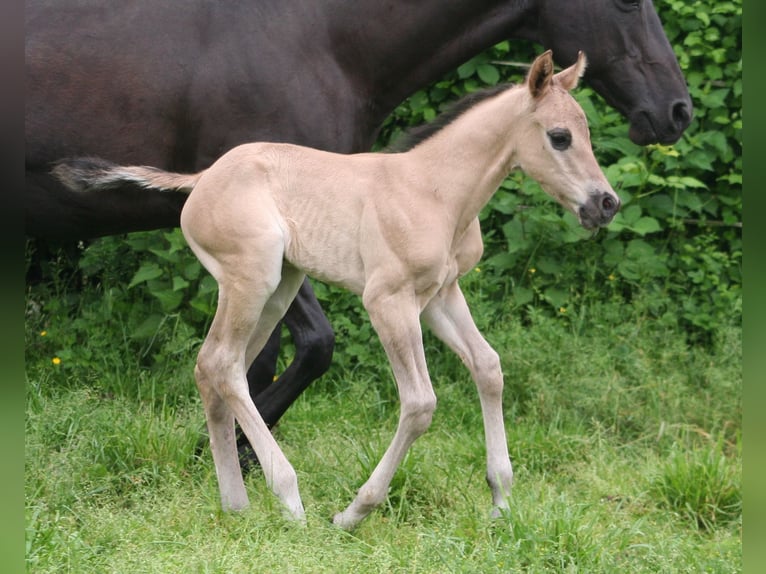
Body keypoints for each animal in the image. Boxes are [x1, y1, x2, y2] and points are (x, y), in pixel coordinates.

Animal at [54, 50, 620, 532]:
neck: (436, 191)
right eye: (560, 137)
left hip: (278, 287)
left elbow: (489, 368)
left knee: (213, 367)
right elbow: (420, 403)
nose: (606, 204)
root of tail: (201, 179)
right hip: (251, 279)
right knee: (222, 364)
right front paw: (354, 513)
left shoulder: (442, 295)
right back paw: (289, 500)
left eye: (586, 131)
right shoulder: (388, 301)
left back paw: (235, 505)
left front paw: (501, 501)